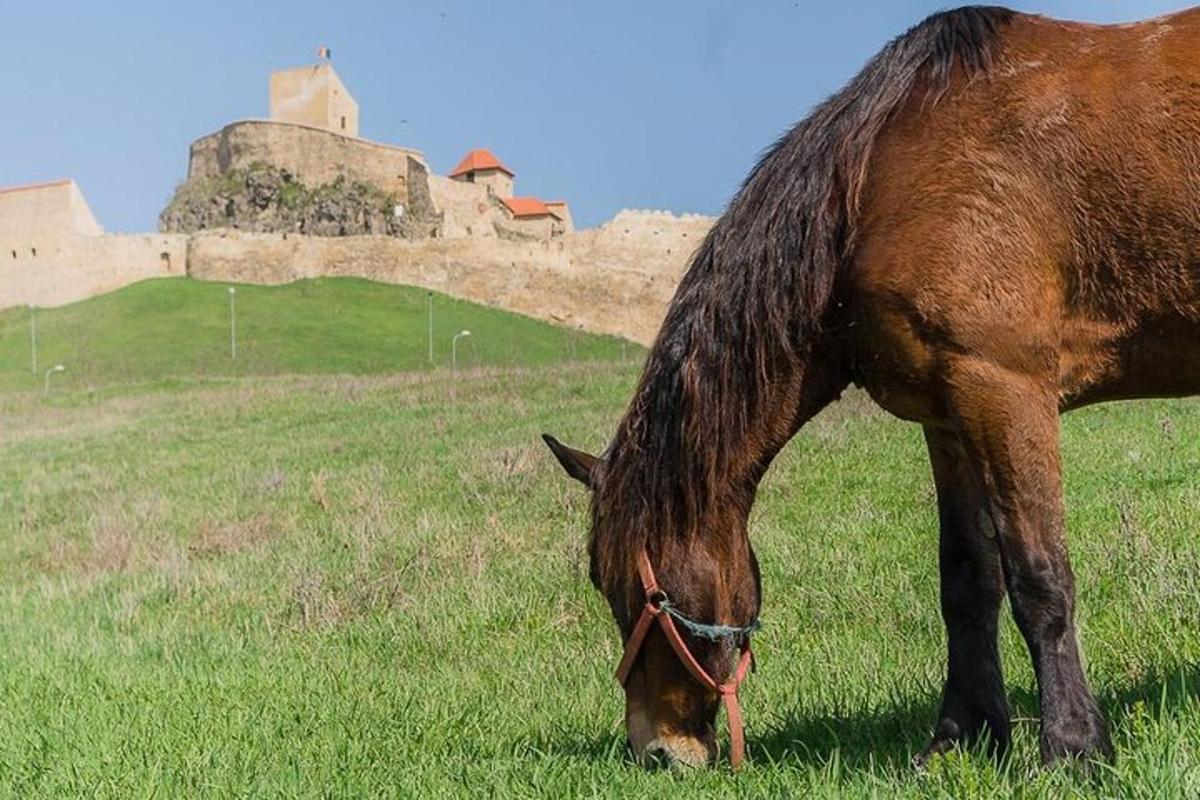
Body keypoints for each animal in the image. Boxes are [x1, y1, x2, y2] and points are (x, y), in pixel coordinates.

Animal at [542, 6, 1200, 767]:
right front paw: (960, 736)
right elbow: (967, 581)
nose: (657, 749)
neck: (875, 179)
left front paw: (1074, 748)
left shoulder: (1005, 390)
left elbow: (1040, 577)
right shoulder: (949, 415)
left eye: (626, 588)